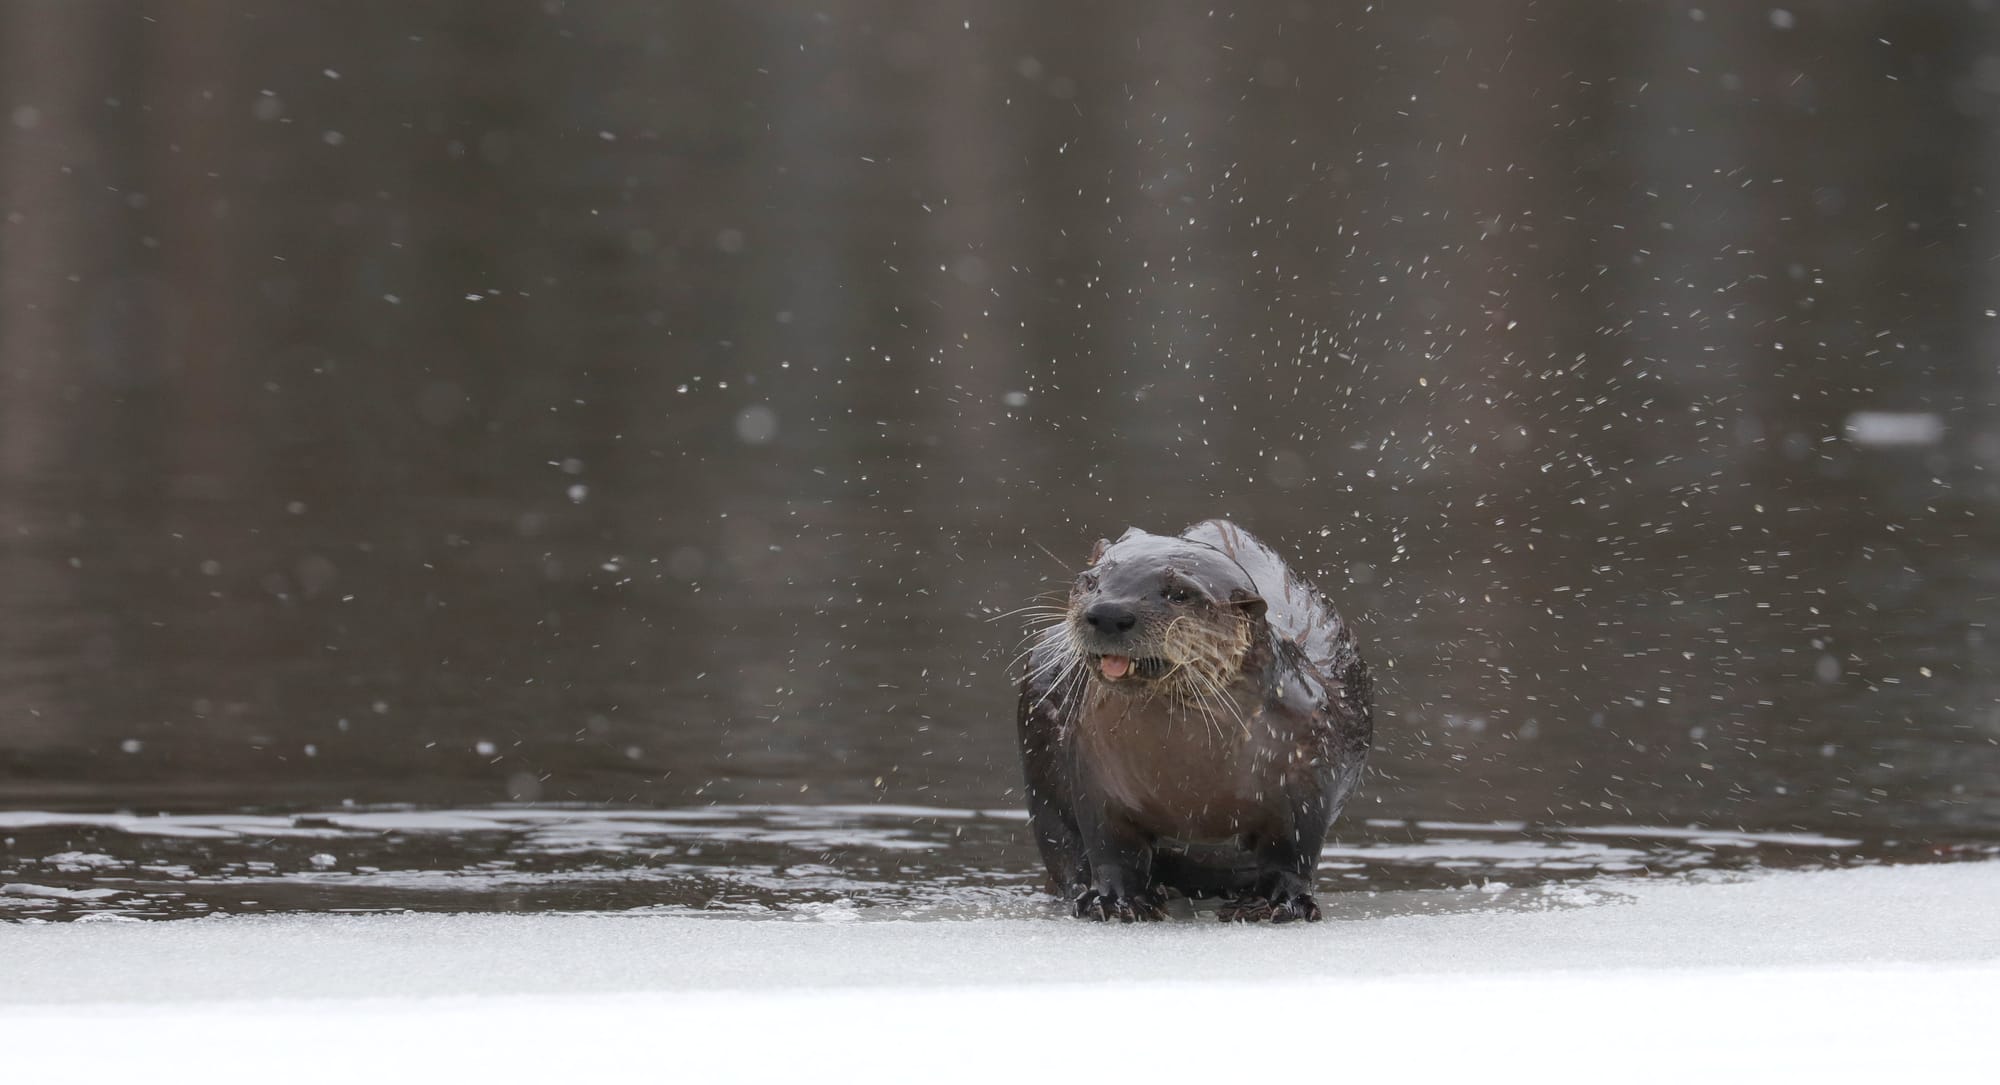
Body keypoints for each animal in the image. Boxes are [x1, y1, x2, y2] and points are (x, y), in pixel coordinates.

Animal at [1015, 520, 1373, 922]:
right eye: (1091, 582)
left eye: (1179, 595)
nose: (1108, 612)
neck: (1189, 778)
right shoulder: (1095, 774)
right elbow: (1110, 849)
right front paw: (1116, 900)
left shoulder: (1306, 772)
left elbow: (1292, 854)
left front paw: (1279, 902)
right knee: (1061, 846)